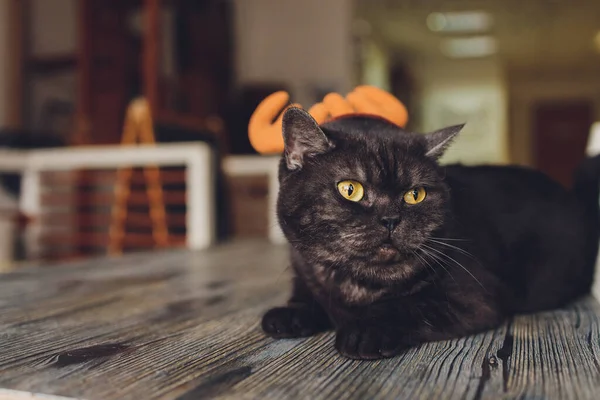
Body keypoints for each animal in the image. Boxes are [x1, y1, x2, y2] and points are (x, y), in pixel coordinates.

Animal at [258, 108, 600, 360]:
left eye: (415, 195)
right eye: (350, 189)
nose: (390, 219)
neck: (358, 286)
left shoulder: (473, 297)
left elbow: (407, 303)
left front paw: (364, 331)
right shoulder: (304, 268)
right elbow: (309, 293)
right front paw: (290, 314)